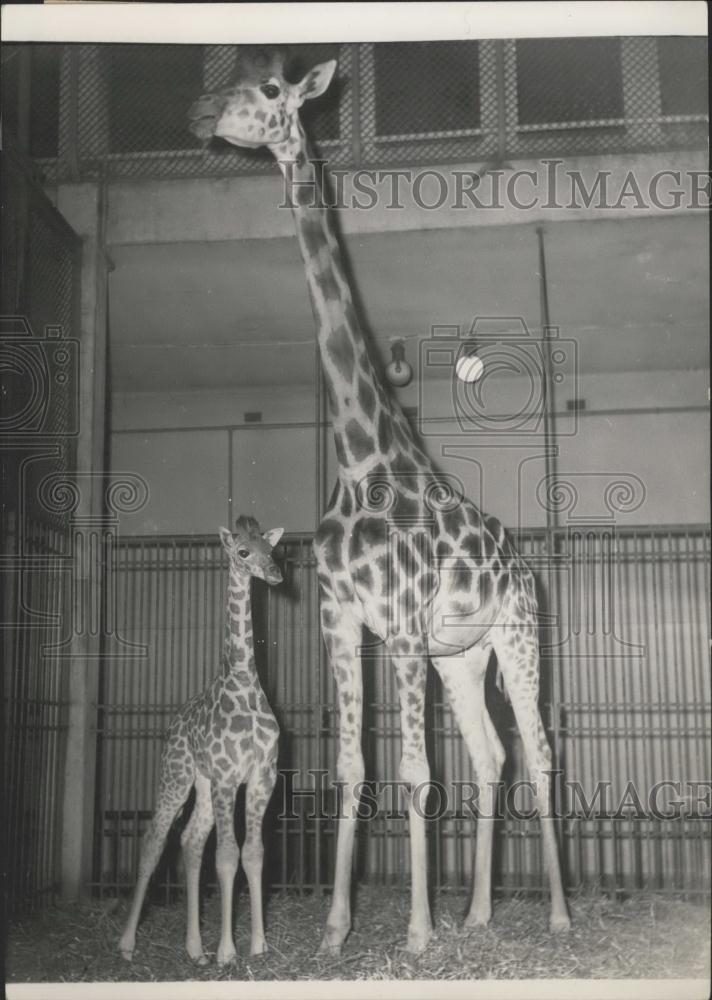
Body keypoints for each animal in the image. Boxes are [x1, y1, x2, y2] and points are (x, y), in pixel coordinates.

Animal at [118, 516, 282, 960]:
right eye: (242, 552)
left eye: (271, 549)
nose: (275, 574)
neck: (244, 684)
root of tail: (175, 724)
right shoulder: (228, 777)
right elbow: (227, 856)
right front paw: (228, 951)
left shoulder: (261, 777)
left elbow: (254, 854)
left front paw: (258, 945)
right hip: (176, 776)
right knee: (154, 841)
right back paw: (126, 942)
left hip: (203, 785)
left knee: (190, 840)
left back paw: (194, 948)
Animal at [188, 47, 568, 952]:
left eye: (270, 89)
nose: (198, 115)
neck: (363, 456)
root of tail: (525, 568)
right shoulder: (342, 620)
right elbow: (354, 764)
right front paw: (335, 927)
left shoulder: (397, 626)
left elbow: (416, 769)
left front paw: (416, 932)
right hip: (462, 657)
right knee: (493, 755)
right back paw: (479, 914)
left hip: (517, 637)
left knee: (538, 752)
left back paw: (558, 915)